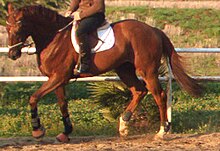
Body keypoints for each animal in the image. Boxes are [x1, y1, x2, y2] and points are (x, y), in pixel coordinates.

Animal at [6, 3, 202, 142]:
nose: (12, 54)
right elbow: (63, 105)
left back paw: (161, 132)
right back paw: (123, 125)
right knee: (139, 91)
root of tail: (153, 30)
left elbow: (33, 97)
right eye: (7, 28)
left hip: (147, 71)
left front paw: (37, 130)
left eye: (19, 26)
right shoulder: (57, 79)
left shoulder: (58, 77)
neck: (54, 37)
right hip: (124, 69)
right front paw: (66, 133)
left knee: (159, 95)